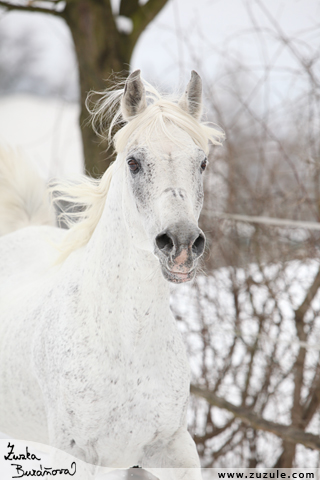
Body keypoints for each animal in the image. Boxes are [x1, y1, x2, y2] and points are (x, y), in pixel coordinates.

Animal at [0, 69, 222, 478]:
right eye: (133, 162)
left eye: (202, 163)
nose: (181, 244)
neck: (125, 344)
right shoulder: (75, 454)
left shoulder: (169, 448)